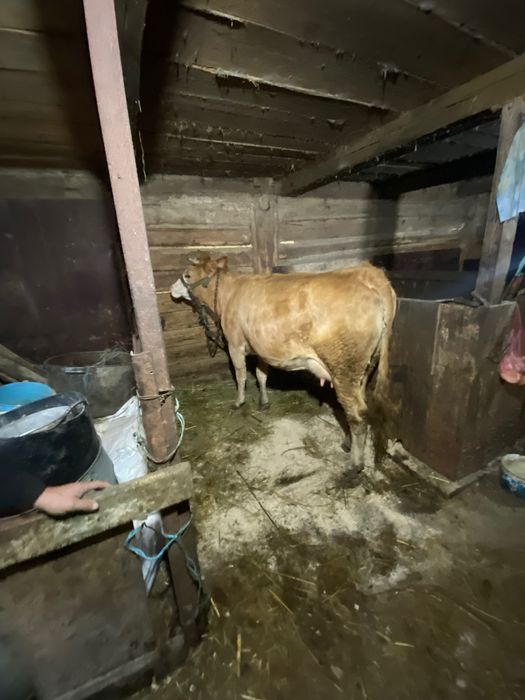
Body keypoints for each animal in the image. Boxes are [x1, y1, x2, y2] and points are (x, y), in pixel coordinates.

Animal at [170, 254, 397, 469]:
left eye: (188, 275)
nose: (172, 288)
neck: (228, 294)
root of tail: (367, 273)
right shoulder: (261, 348)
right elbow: (261, 375)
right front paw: (263, 401)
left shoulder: (234, 343)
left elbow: (240, 374)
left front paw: (239, 401)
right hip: (364, 369)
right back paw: (348, 444)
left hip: (344, 369)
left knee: (357, 414)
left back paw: (355, 464)